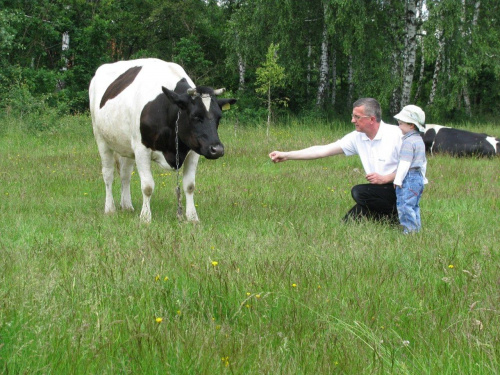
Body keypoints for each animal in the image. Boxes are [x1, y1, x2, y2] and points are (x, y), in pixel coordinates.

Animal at [89, 58, 237, 222]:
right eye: (195, 116)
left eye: (219, 117)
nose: (217, 149)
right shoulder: (141, 149)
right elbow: (147, 186)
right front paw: (145, 217)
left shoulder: (194, 151)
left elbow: (189, 185)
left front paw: (192, 217)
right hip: (101, 139)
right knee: (108, 174)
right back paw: (110, 209)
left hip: (126, 145)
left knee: (125, 174)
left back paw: (127, 206)